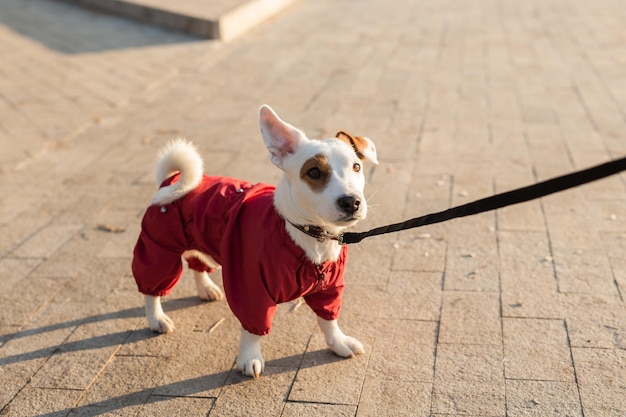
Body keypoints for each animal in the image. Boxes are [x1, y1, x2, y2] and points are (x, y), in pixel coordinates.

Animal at [130, 104, 376, 376]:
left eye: (356, 167)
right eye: (314, 172)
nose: (351, 202)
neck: (310, 235)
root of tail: (172, 178)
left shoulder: (329, 288)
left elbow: (328, 319)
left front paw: (338, 343)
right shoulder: (251, 290)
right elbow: (252, 331)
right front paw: (249, 358)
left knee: (196, 262)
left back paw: (205, 288)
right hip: (159, 248)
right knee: (152, 289)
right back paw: (157, 318)